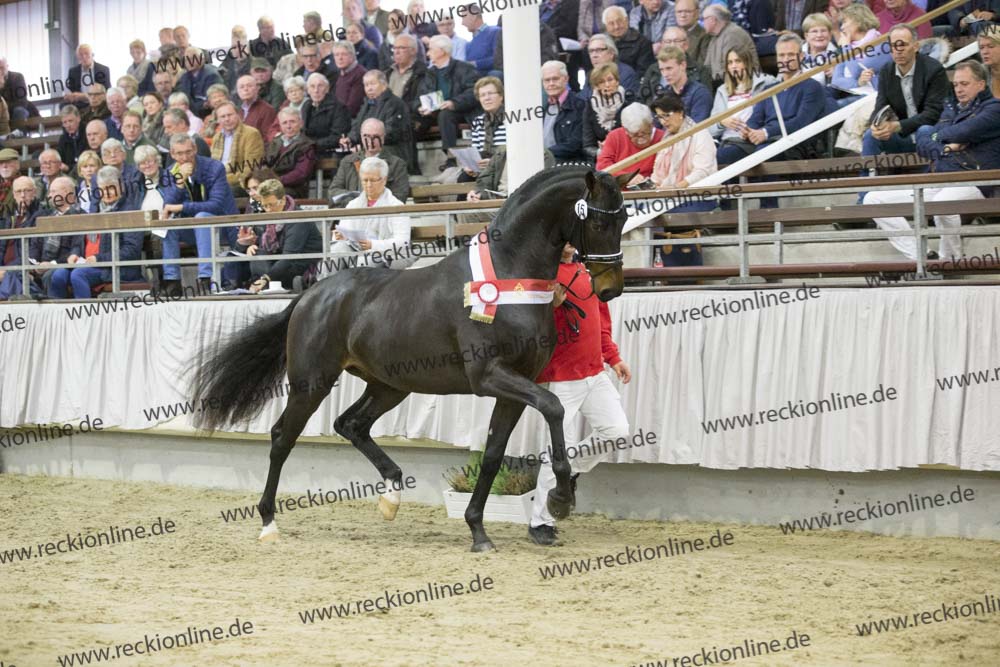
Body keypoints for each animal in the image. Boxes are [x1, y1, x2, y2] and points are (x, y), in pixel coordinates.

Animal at [191, 165, 633, 552]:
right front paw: (560, 498)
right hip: (312, 382)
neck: (511, 277)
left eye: (625, 216)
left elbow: (493, 455)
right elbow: (555, 407)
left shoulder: (515, 386)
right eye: (598, 223)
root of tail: (312, 294)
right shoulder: (490, 376)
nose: (610, 289)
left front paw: (478, 530)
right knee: (283, 436)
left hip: (390, 385)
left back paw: (391, 496)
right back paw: (268, 523)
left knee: (350, 424)